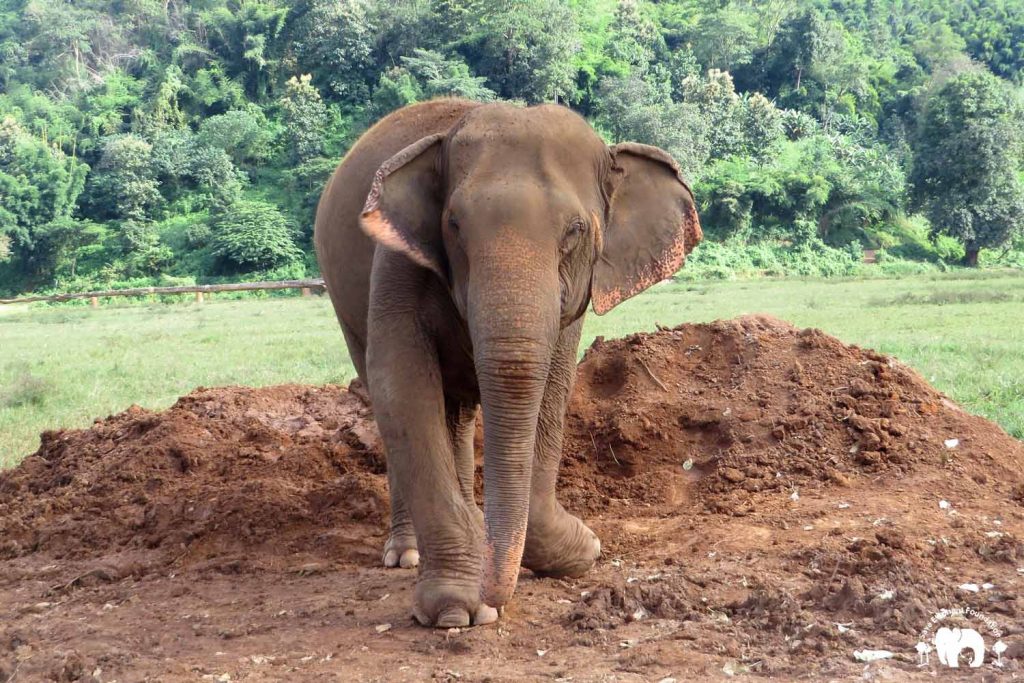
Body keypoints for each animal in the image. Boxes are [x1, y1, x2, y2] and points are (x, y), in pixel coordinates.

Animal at [313, 98, 704, 626]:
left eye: (575, 231)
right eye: (454, 225)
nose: (495, 598)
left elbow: (552, 388)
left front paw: (583, 551)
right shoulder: (397, 262)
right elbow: (401, 384)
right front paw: (457, 611)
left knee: (457, 413)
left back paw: (476, 522)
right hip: (342, 303)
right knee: (386, 393)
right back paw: (409, 553)